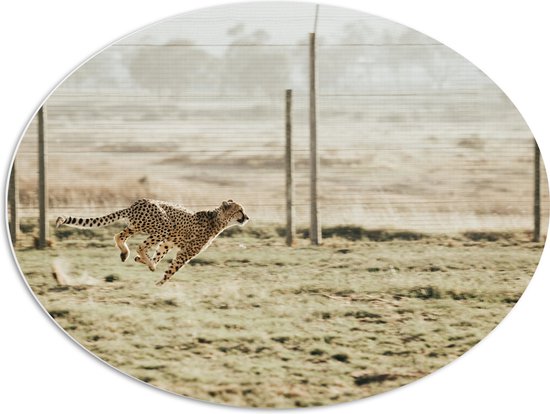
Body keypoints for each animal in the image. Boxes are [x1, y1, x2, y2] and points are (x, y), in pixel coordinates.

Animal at [55, 199, 249, 285]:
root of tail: (137, 203)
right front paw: (159, 283)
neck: (216, 219)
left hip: (137, 226)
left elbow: (159, 255)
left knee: (119, 236)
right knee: (140, 245)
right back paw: (143, 260)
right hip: (162, 226)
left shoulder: (168, 243)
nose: (247, 217)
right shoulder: (185, 252)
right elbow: (172, 269)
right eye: (240, 210)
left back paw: (126, 254)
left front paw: (146, 263)